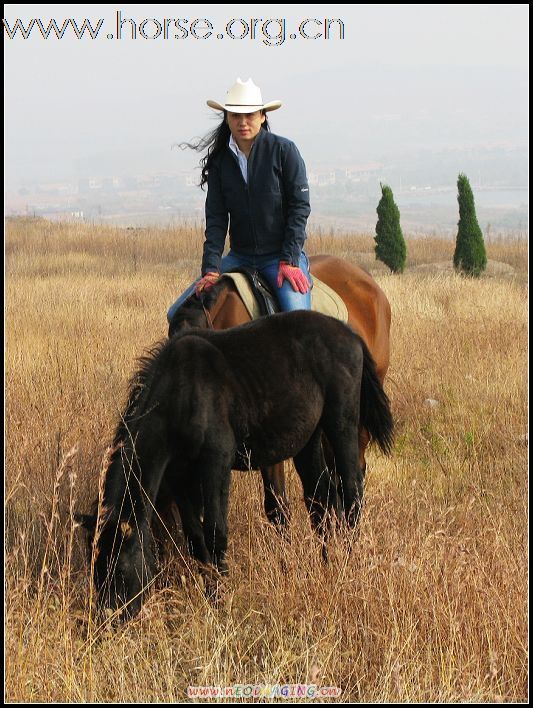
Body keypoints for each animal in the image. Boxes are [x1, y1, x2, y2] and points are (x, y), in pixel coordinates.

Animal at [80, 312, 394, 616]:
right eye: (95, 571)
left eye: (120, 568)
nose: (110, 618)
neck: (181, 392)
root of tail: (350, 334)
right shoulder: (181, 478)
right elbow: (195, 539)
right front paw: (210, 594)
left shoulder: (216, 462)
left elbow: (215, 533)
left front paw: (221, 602)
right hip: (308, 440)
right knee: (322, 499)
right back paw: (328, 562)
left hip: (341, 425)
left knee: (351, 493)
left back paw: (348, 563)